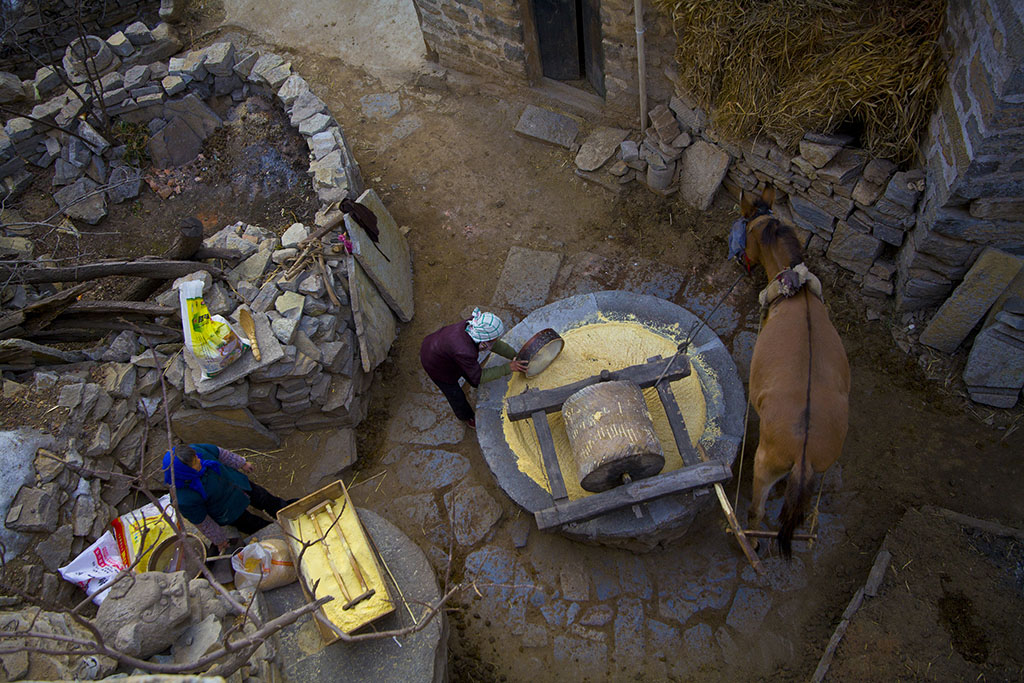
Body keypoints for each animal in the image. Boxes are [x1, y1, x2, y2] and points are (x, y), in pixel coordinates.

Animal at [741, 185, 851, 557]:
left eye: (746, 230)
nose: (742, 260)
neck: (797, 295)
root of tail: (803, 452)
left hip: (764, 463)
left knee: (756, 511)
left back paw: (750, 542)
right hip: (819, 467)